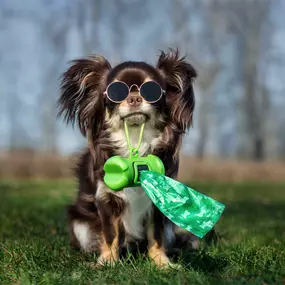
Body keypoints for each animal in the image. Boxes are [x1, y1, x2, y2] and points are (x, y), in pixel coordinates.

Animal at [58, 48, 197, 266]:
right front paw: (107, 261)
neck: (133, 140)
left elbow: (156, 235)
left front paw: (161, 262)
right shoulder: (106, 199)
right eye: (115, 92)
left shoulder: (159, 202)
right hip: (81, 224)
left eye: (152, 90)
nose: (134, 98)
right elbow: (110, 234)